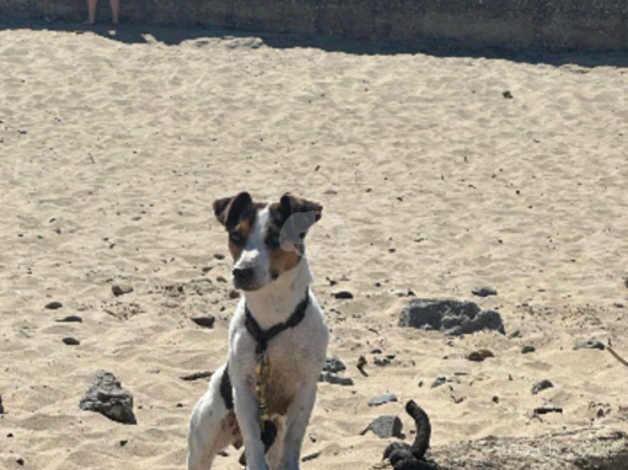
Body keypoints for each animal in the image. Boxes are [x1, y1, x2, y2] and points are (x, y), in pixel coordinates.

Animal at [188, 192, 328, 470]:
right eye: (235, 236)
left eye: (275, 238)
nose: (241, 272)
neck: (272, 319)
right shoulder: (243, 389)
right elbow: (253, 439)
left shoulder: (306, 390)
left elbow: (294, 440)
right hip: (205, 435)